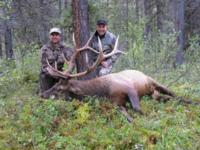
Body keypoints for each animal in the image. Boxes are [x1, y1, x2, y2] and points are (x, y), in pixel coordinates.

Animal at [39, 34, 177, 122]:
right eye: (54, 85)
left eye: (60, 89)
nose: (42, 95)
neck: (103, 93)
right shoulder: (116, 105)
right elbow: (129, 118)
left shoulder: (129, 88)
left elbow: (137, 108)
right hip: (153, 93)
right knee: (163, 97)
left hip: (151, 80)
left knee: (172, 93)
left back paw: (182, 100)